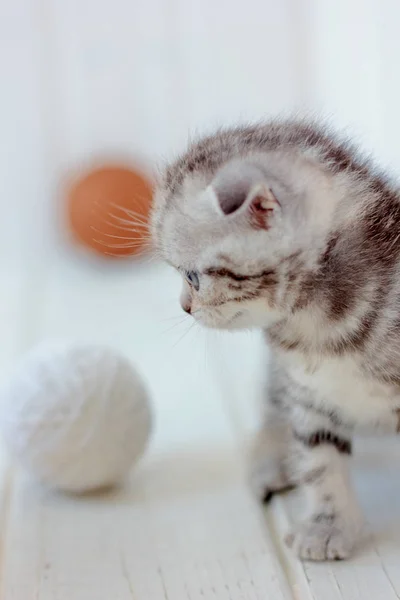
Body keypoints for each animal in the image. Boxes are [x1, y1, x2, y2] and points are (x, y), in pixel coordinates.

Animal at [150, 120, 400, 564]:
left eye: (192, 276)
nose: (184, 307)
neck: (320, 326)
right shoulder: (305, 391)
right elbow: (319, 459)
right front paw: (328, 525)